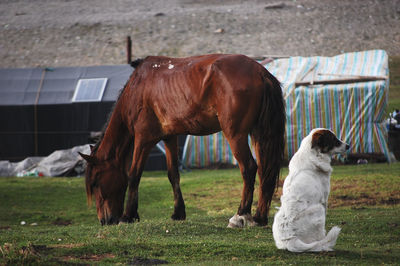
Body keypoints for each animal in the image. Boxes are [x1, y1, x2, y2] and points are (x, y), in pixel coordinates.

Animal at [79, 54, 284, 227]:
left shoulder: (143, 139)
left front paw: (128, 215)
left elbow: (134, 174)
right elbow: (173, 174)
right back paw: (259, 217)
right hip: (258, 134)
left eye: (95, 182)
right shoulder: (170, 137)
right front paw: (178, 213)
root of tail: (260, 71)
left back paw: (240, 215)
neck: (137, 88)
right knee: (264, 171)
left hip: (236, 135)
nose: (105, 220)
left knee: (249, 168)